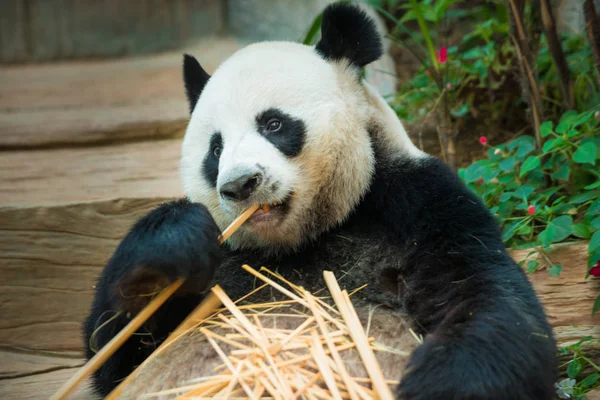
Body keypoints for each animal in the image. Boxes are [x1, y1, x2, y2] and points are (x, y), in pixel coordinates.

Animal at [82, 3, 556, 400]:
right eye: (215, 149)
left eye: (273, 124)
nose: (240, 184)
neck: (301, 241)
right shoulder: (221, 264)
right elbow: (114, 355)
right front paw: (163, 257)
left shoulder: (421, 205)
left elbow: (490, 303)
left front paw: (440, 385)